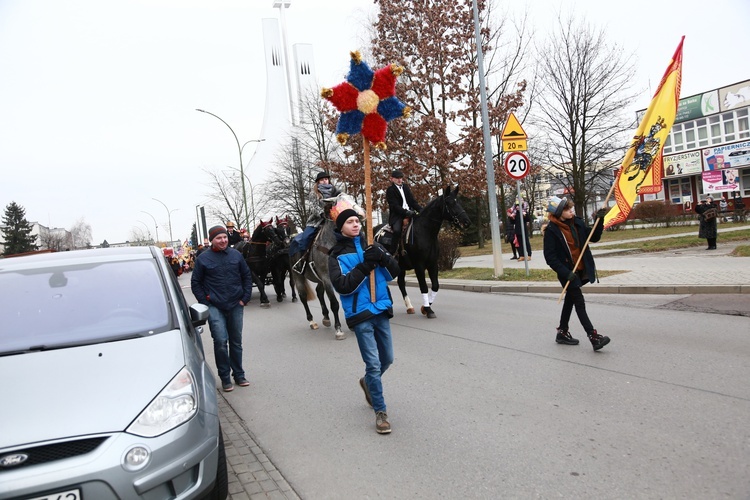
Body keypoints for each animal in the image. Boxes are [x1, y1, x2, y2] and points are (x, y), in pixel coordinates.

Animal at [376, 186, 470, 318]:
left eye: (458, 202)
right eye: (450, 203)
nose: (466, 222)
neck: (425, 232)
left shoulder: (433, 264)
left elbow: (435, 286)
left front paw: (425, 308)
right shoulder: (419, 266)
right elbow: (424, 287)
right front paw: (428, 310)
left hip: (401, 267)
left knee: (401, 283)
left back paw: (409, 307)